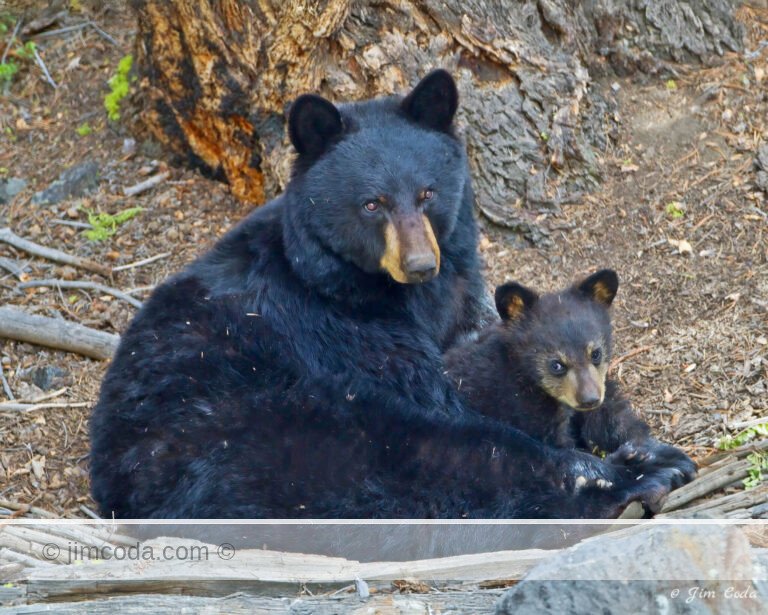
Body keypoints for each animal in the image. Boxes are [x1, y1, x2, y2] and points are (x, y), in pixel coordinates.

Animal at [443, 269, 697, 514]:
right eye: (556, 364)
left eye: (595, 353)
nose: (589, 399)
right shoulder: (518, 405)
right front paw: (642, 463)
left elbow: (609, 419)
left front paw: (659, 451)